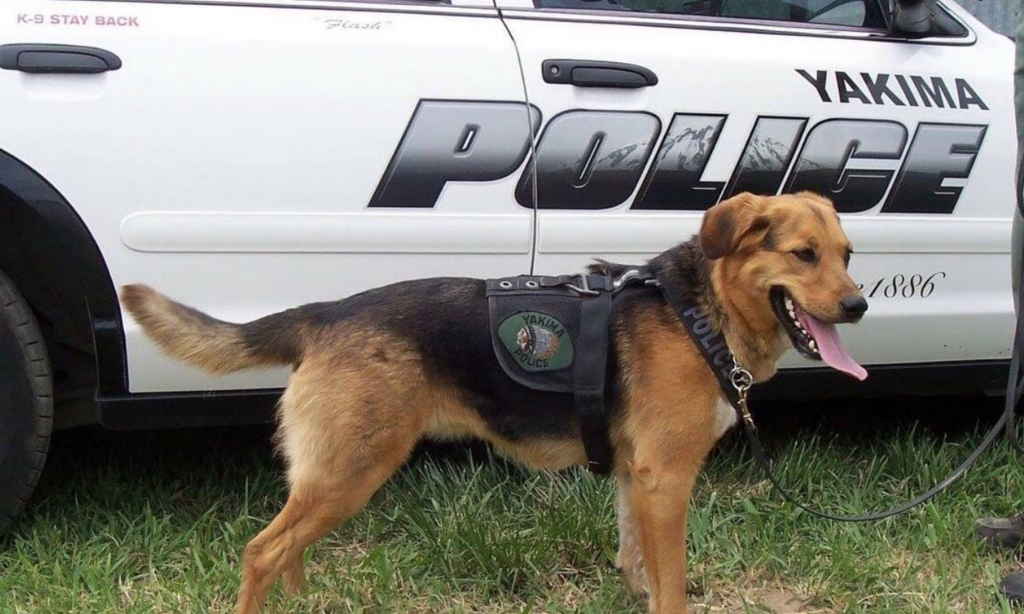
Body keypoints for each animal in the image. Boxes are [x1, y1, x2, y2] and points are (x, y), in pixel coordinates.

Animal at [123, 192, 868, 614]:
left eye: (847, 254)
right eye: (803, 255)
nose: (860, 306)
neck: (696, 311)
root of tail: (324, 313)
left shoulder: (638, 477)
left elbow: (637, 562)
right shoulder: (668, 479)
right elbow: (671, 581)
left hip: (330, 478)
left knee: (285, 551)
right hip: (348, 476)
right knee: (261, 552)